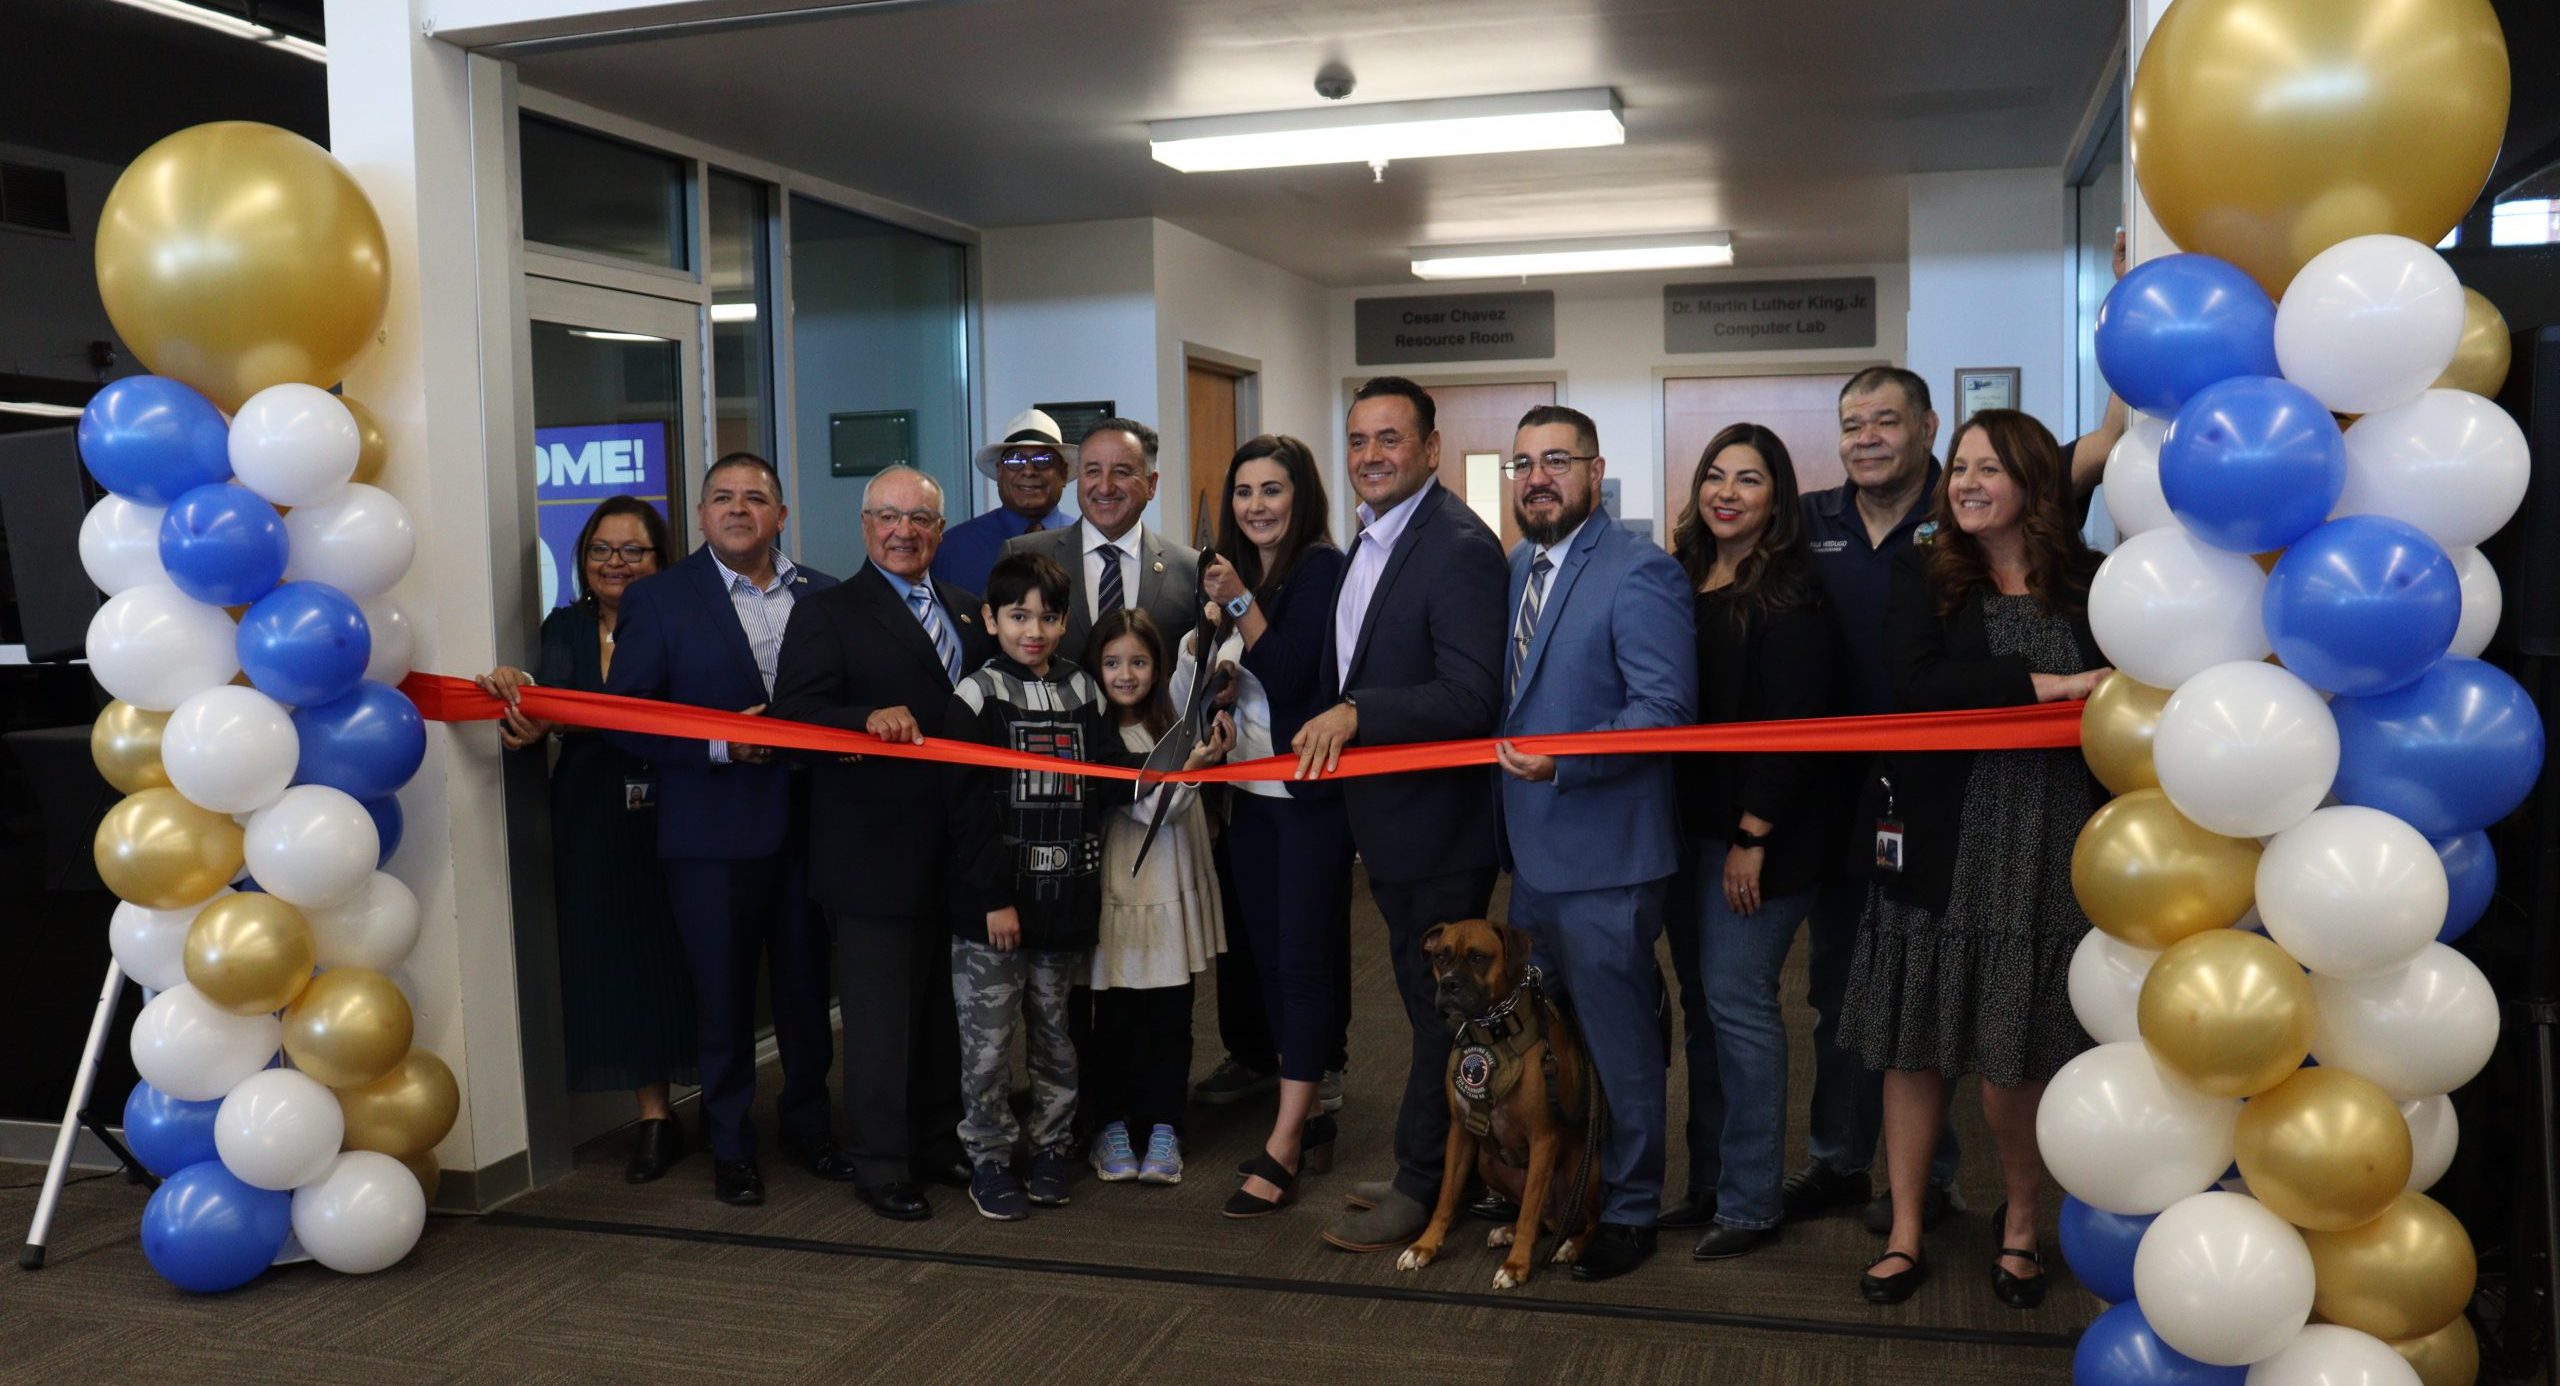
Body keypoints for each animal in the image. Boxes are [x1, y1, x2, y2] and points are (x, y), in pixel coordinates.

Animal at [1402, 917, 1597, 1286]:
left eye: (1478, 957)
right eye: (1440, 957)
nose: (1448, 984)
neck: (1491, 1031)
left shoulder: (1543, 1139)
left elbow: (1529, 1211)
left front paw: (1516, 1266)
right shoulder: (1460, 1133)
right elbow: (1445, 1197)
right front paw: (1424, 1246)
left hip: (1584, 1172)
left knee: (1583, 1220)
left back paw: (1571, 1247)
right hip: (1487, 1162)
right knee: (1541, 1220)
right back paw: (1508, 1231)